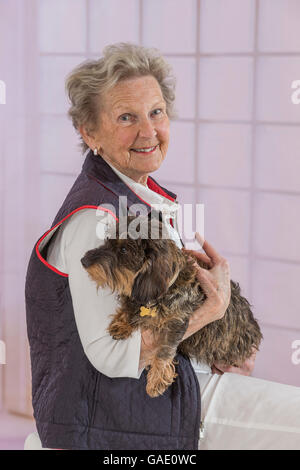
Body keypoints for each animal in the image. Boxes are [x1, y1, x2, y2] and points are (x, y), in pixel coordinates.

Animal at [81, 216, 262, 396]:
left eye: (124, 249)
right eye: (107, 240)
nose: (83, 261)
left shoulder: (177, 322)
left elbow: (165, 350)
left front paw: (157, 379)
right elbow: (129, 308)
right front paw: (122, 323)